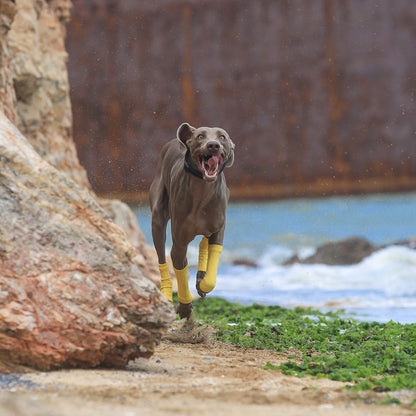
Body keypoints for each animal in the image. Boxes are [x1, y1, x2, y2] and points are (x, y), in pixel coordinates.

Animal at [150, 122, 234, 318]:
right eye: (200, 136)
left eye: (222, 137)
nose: (213, 145)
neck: (201, 192)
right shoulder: (179, 243)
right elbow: (180, 268)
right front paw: (184, 306)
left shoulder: (219, 228)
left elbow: (211, 274)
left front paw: (202, 283)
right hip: (157, 217)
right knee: (161, 256)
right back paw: (166, 293)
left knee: (205, 241)